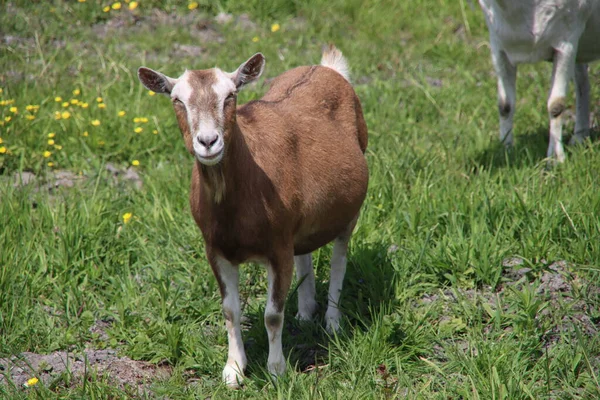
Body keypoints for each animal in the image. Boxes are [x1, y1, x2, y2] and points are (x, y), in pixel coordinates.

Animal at [138, 45, 368, 386]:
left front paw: (276, 371)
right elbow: (230, 310)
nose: (208, 142)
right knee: (305, 253)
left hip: (349, 211)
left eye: (231, 95)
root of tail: (329, 68)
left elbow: (272, 314)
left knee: (340, 258)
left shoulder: (278, 246)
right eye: (177, 99)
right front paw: (233, 370)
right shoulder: (215, 248)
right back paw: (304, 313)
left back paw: (332, 322)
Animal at [478, 1, 600, 162]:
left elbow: (556, 105)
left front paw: (556, 160)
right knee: (582, 83)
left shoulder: (566, 44)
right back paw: (579, 140)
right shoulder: (499, 47)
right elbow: (505, 106)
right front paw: (505, 152)